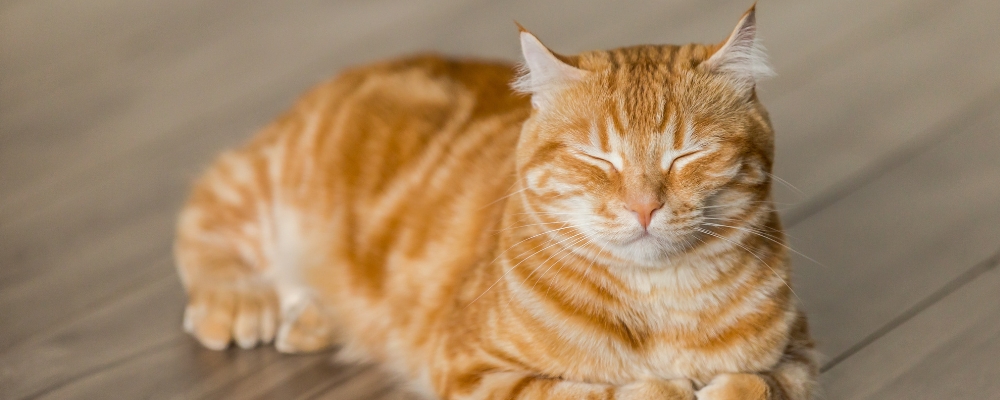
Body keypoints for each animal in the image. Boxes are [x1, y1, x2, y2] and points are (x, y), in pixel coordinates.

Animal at [178, 6, 820, 400]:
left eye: (687, 154)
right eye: (597, 158)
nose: (643, 207)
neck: (659, 301)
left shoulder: (800, 355)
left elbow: (759, 384)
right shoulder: (476, 370)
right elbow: (599, 393)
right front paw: (662, 387)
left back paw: (311, 319)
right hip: (264, 182)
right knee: (205, 217)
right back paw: (240, 301)